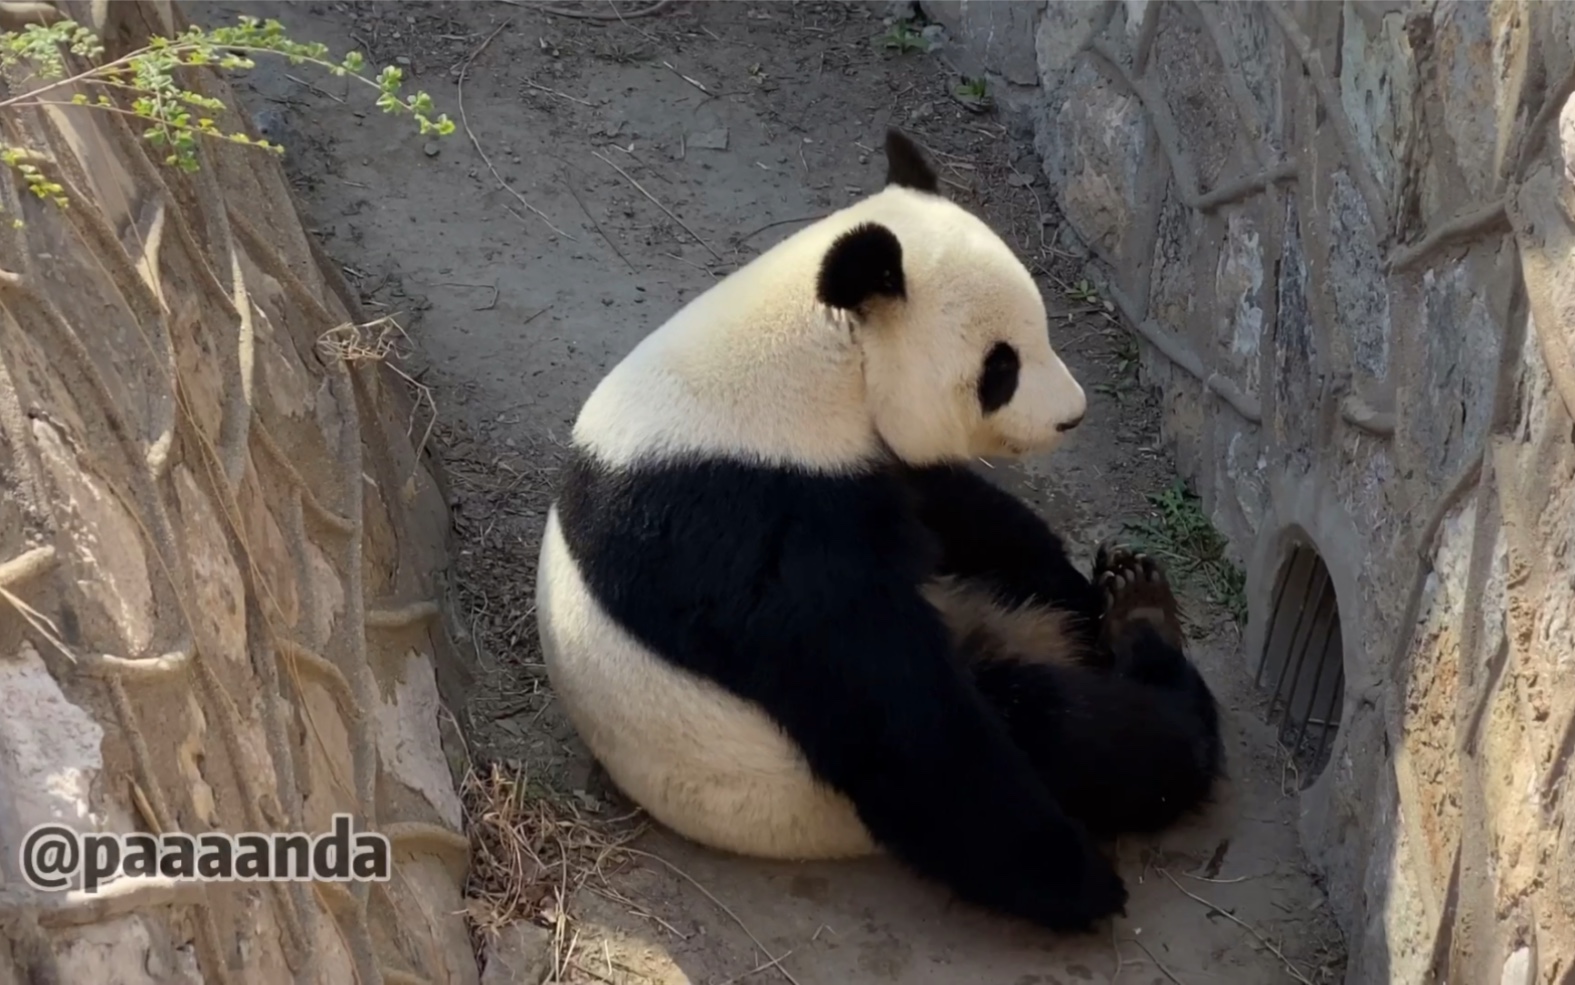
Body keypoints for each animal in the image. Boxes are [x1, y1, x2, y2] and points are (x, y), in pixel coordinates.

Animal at [535, 128, 1222, 926]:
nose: (1071, 415)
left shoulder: (866, 467)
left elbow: (964, 511)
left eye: (1043, 330)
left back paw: (1125, 599)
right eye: (1001, 366)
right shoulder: (752, 519)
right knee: (1045, 725)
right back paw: (1149, 653)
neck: (811, 365)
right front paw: (1076, 879)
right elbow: (895, 718)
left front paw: (1079, 580)